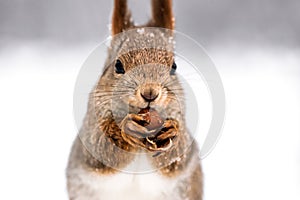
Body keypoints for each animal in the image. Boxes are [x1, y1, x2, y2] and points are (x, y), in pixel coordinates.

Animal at [65, 0, 202, 199]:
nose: (150, 93)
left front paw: (172, 131)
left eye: (174, 66)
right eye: (118, 65)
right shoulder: (90, 132)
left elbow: (177, 158)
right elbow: (100, 148)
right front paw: (128, 128)